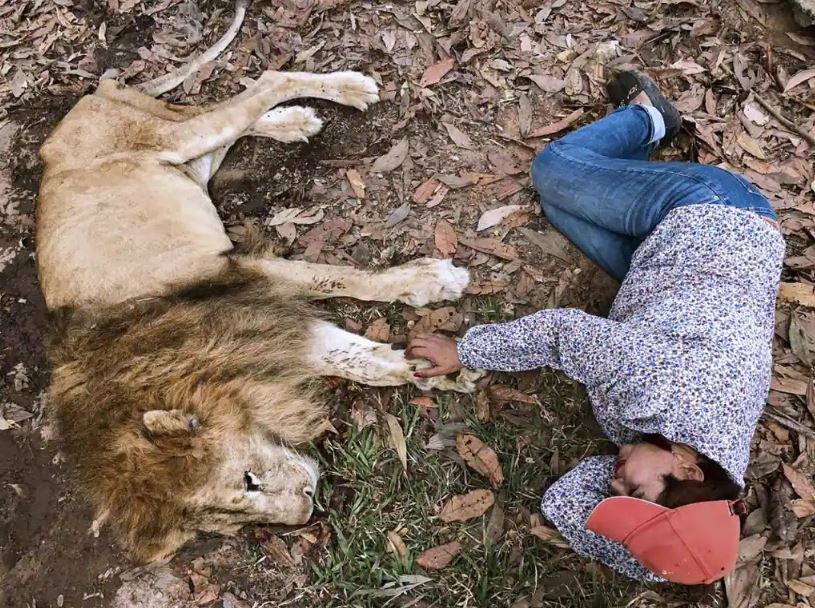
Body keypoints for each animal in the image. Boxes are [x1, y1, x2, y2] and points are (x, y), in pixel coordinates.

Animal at [36, 1, 478, 560]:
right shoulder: (258, 330)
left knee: (262, 84)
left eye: (248, 481)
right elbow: (362, 361)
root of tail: (89, 98)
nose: (308, 512)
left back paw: (347, 89)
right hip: (188, 162)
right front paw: (437, 369)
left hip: (172, 141)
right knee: (229, 121)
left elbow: (338, 278)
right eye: (231, 525)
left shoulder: (238, 274)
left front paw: (431, 282)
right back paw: (294, 123)